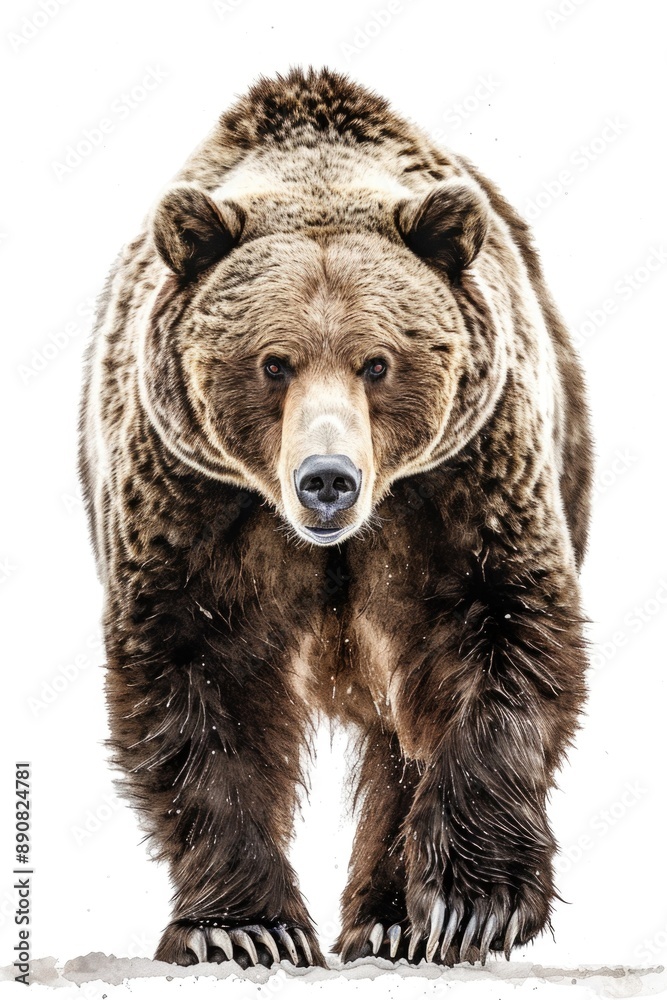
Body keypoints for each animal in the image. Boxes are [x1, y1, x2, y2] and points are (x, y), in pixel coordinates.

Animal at [79, 66, 593, 969]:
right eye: (272, 363)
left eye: (377, 362)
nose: (327, 480)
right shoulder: (191, 507)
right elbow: (197, 686)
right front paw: (245, 927)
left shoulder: (463, 487)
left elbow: (499, 639)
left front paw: (471, 904)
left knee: (398, 737)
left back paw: (392, 919)